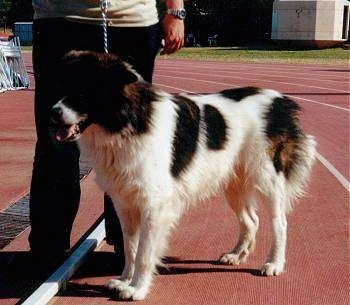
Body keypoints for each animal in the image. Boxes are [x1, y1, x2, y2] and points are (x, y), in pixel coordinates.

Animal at [52, 50, 318, 300]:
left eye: (83, 93)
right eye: (62, 87)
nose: (53, 112)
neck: (130, 122)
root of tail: (280, 100)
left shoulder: (154, 206)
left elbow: (145, 253)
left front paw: (137, 288)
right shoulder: (124, 203)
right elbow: (130, 247)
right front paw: (125, 280)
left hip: (266, 178)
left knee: (279, 223)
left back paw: (274, 263)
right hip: (234, 184)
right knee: (251, 220)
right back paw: (235, 255)